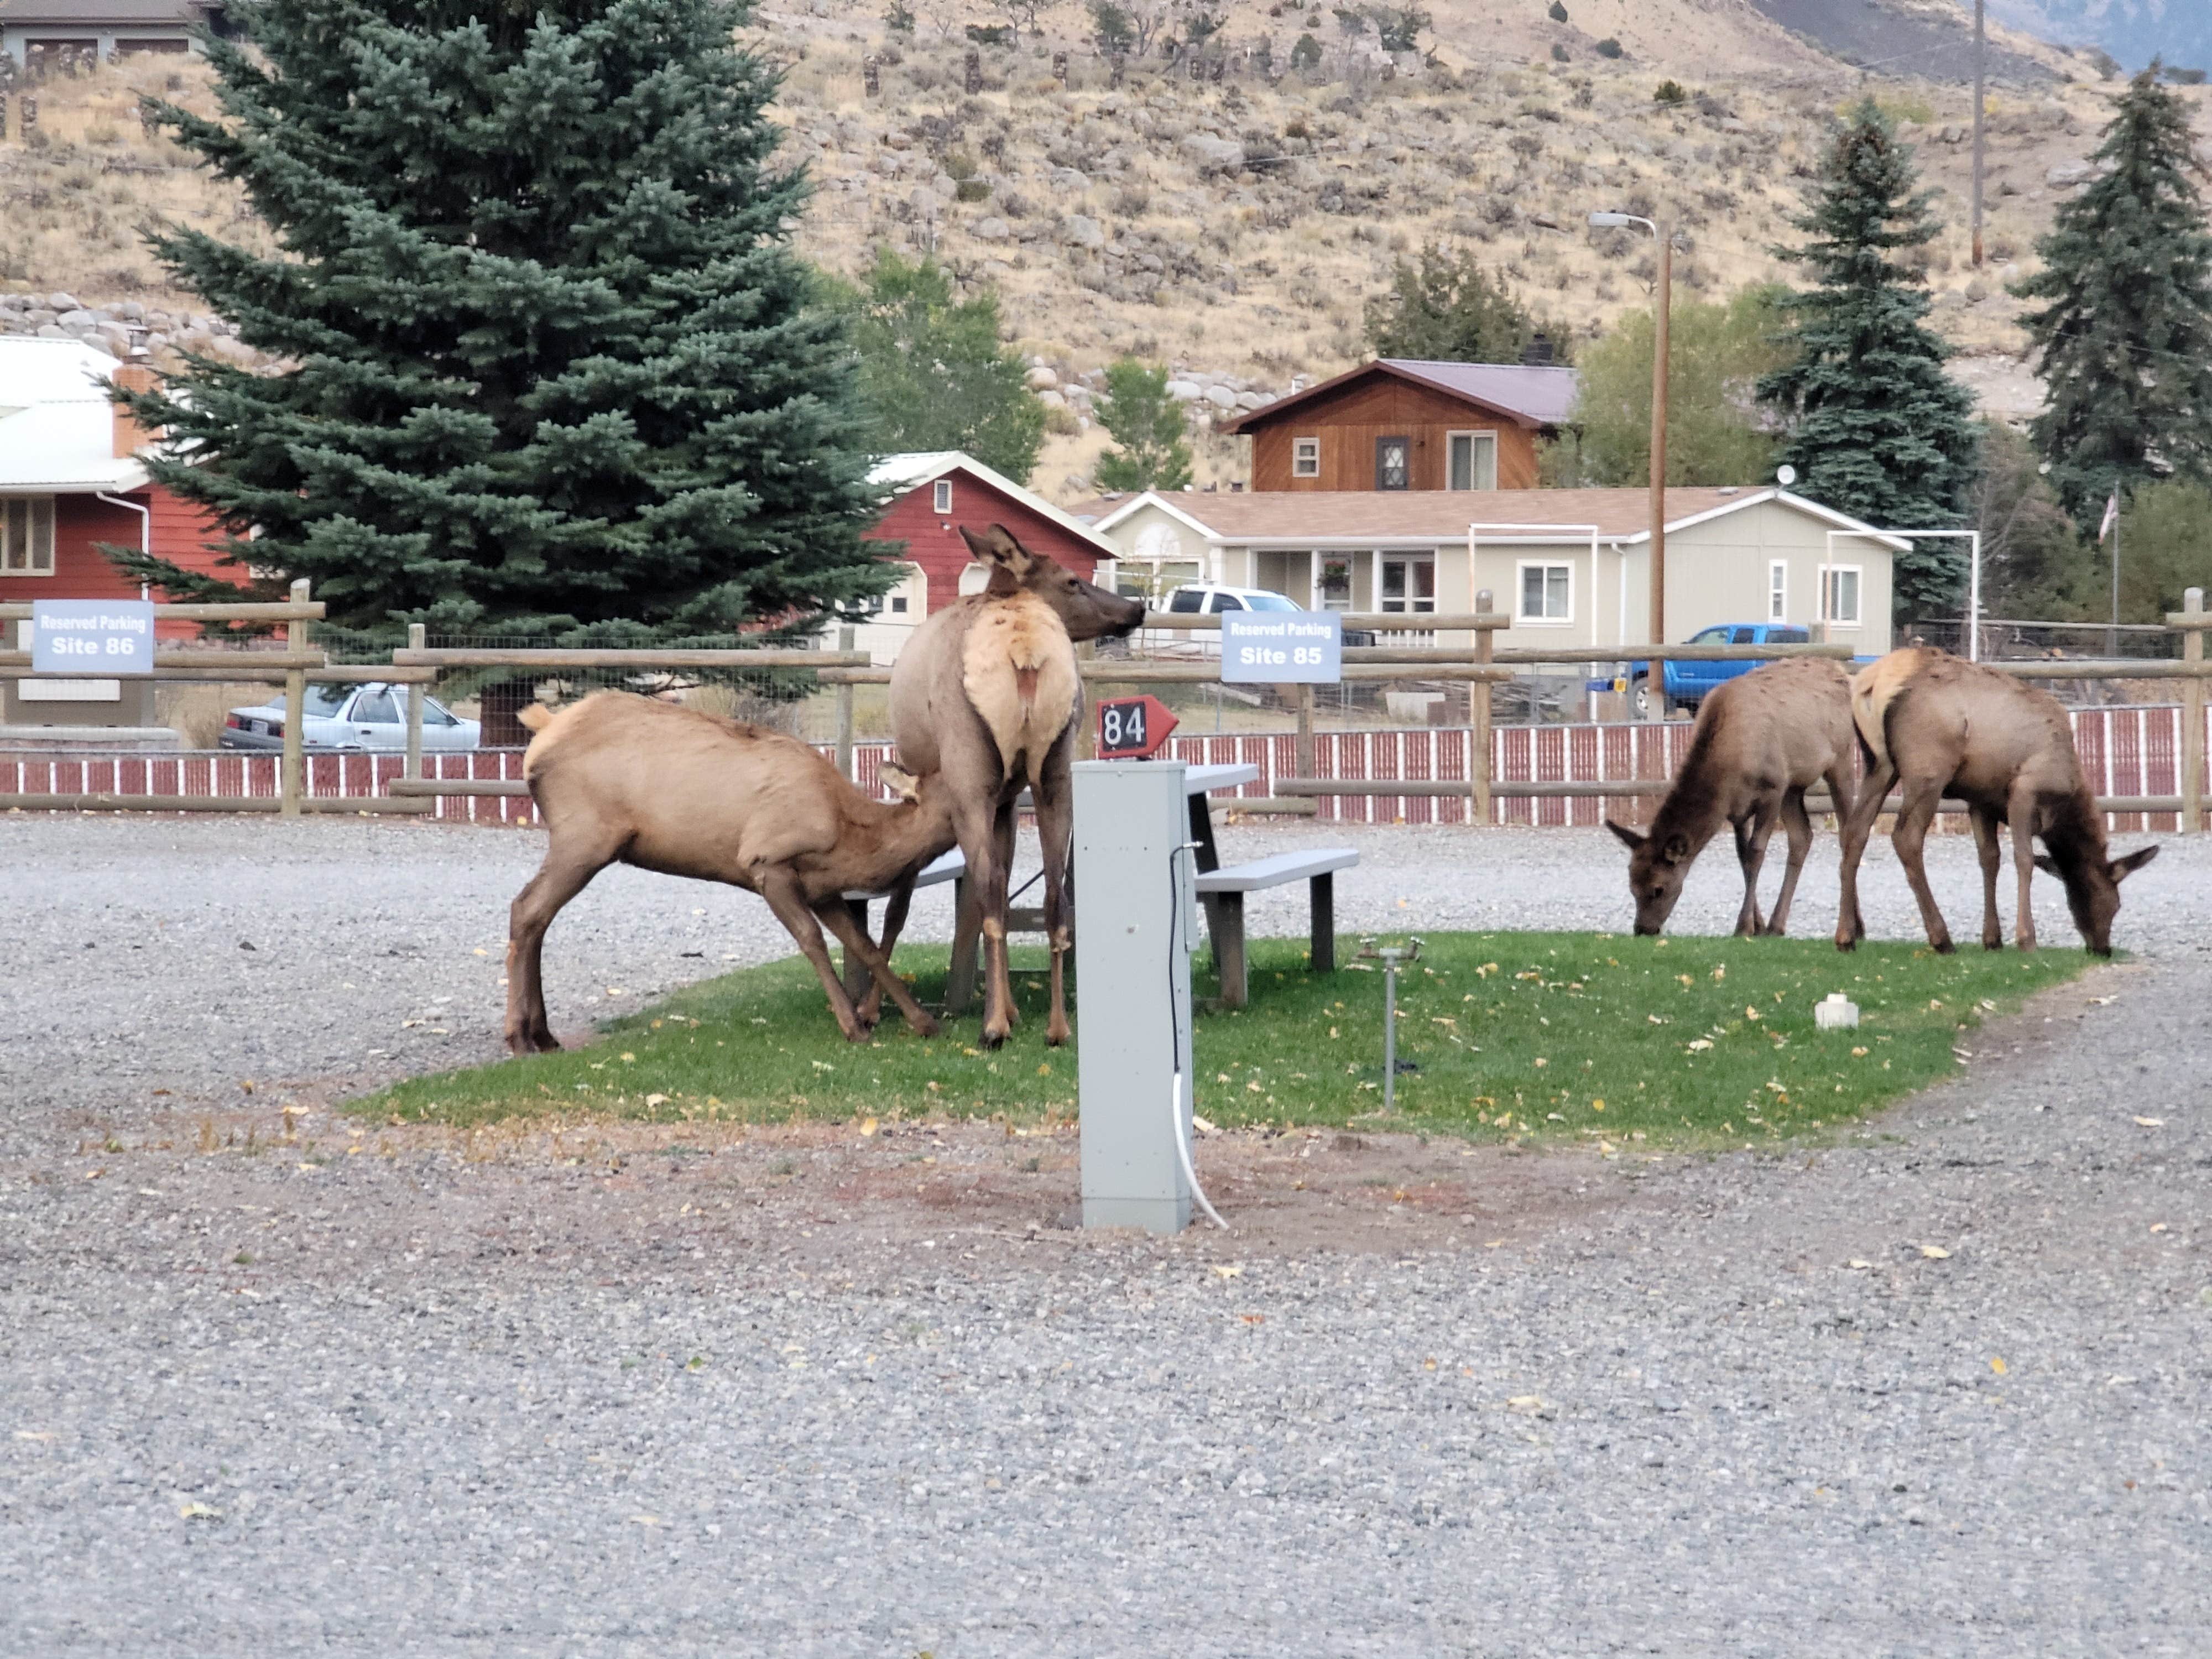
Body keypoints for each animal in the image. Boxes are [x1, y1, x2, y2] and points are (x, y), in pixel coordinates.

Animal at [509, 695, 960, 1057]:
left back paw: (543, 1034)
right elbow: (812, 940)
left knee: (537, 916)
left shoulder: (822, 888)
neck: (851, 841)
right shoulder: (767, 862)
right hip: (584, 837)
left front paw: (922, 1022)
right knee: (526, 908)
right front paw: (853, 1027)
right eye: (957, 795)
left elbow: (863, 945)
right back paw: (520, 1037)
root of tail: (543, 729)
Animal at [889, 526, 1150, 1053]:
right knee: (1053, 895)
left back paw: (994, 1027)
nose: (1137, 608)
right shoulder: (1011, 797)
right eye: (1073, 580)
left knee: (988, 891)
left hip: (970, 773)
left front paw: (1003, 1012)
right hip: (1055, 772)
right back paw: (1057, 1027)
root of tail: (1025, 650)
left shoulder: (986, 795)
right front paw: (1013, 1007)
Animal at [1610, 664, 1867, 947]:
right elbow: (1743, 856)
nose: (1643, 929)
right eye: (1631, 885)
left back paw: (1856, 927)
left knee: (1847, 833)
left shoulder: (1772, 790)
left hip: (1841, 759)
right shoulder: (1738, 808)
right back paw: (1777, 925)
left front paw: (1743, 926)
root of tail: (1841, 672)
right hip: (1793, 786)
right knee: (1802, 836)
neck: (1728, 769)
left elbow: (1756, 853)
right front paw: (1758, 925)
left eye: (1659, 889)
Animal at [1832, 650, 2159, 960]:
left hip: (1879, 765)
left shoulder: (1981, 800)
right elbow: (2023, 859)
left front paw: (1993, 939)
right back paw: (1941, 939)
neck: (2065, 795)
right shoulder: (2024, 790)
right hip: (1928, 770)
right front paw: (2026, 939)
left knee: (1854, 832)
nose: (2103, 949)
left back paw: (1846, 937)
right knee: (1906, 838)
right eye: (2114, 903)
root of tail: (1873, 683)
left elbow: (1990, 859)